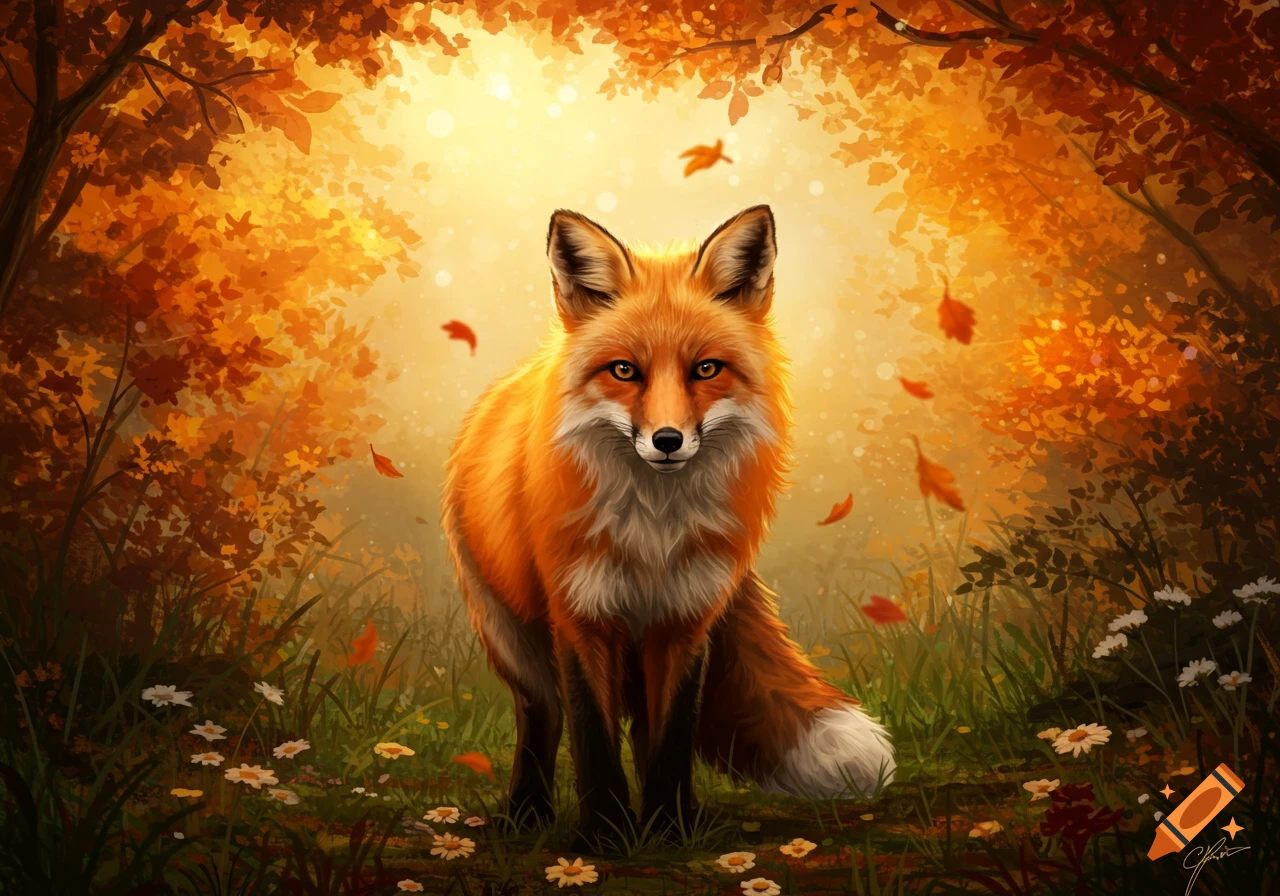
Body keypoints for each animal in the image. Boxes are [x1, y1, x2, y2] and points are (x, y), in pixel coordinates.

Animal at [442, 205, 894, 844]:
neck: (652, 533)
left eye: (706, 369)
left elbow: (671, 738)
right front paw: (604, 836)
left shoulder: (687, 619)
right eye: (624, 371)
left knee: (641, 729)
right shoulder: (580, 617)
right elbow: (593, 739)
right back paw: (527, 813)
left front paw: (668, 830)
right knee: (541, 716)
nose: (667, 440)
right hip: (512, 633)